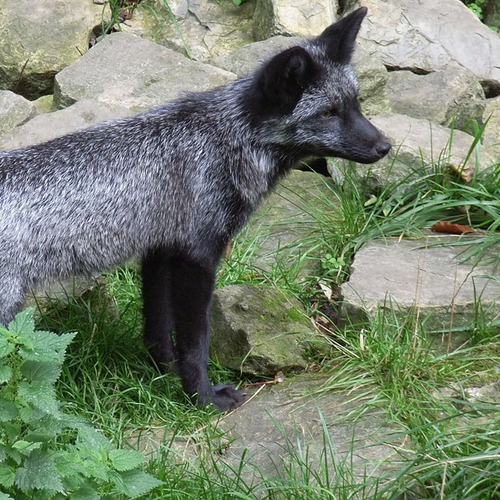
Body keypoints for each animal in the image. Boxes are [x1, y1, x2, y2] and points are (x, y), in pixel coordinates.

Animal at [0, 6, 390, 410]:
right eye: (328, 113)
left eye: (357, 103)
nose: (385, 147)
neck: (222, 140)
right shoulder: (198, 256)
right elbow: (195, 342)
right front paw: (202, 398)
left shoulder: (160, 251)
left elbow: (158, 329)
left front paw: (163, 375)